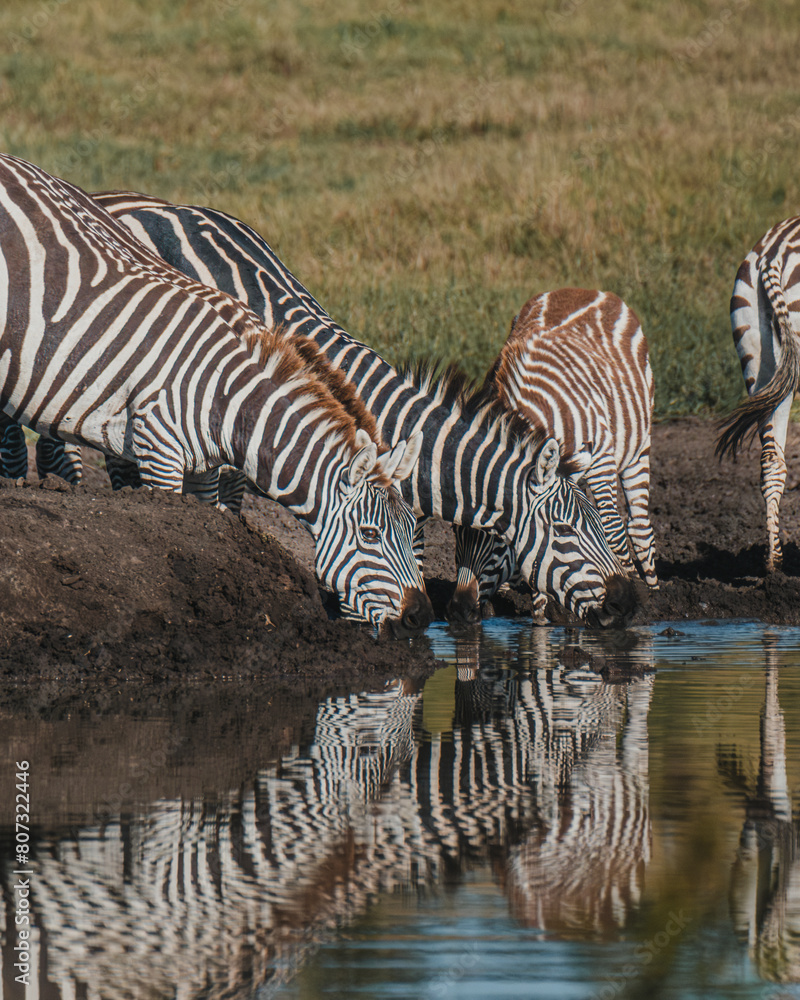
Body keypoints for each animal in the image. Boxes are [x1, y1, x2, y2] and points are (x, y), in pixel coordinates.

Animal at [0, 153, 431, 634]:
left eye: (413, 529)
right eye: (370, 535)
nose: (423, 617)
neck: (227, 400)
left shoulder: (204, 467)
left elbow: (210, 529)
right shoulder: (160, 450)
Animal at [448, 287, 657, 624]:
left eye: (499, 539)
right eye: (456, 531)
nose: (458, 612)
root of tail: (582, 288)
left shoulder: (600, 460)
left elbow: (610, 530)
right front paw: (542, 615)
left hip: (638, 446)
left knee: (638, 527)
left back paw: (652, 591)